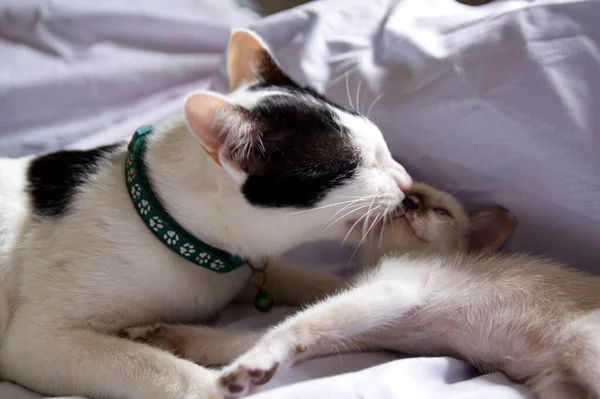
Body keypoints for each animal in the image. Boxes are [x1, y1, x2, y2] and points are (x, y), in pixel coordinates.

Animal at [0, 28, 412, 399]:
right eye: (360, 165)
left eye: (383, 148)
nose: (408, 183)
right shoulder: (39, 342)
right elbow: (161, 368)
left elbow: (301, 279)